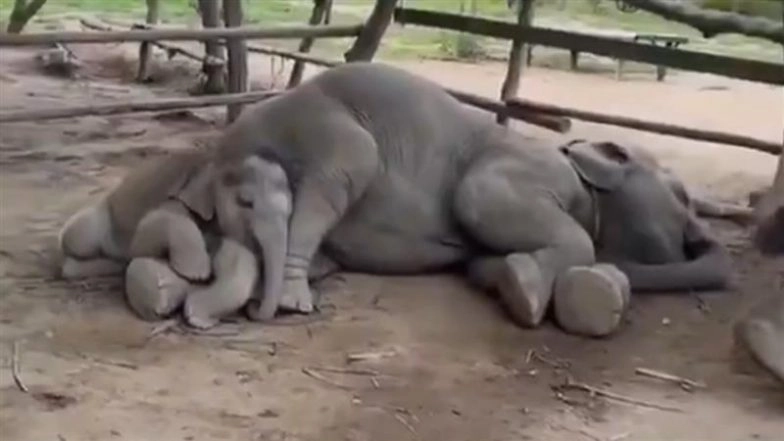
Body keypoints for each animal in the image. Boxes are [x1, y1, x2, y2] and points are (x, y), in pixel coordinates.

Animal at [181, 62, 731, 338]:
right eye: (683, 195)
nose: (700, 235)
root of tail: (227, 145)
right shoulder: (526, 168)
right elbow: (480, 200)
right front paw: (528, 298)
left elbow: (483, 263)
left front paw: (514, 281)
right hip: (327, 132)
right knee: (335, 180)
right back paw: (294, 302)